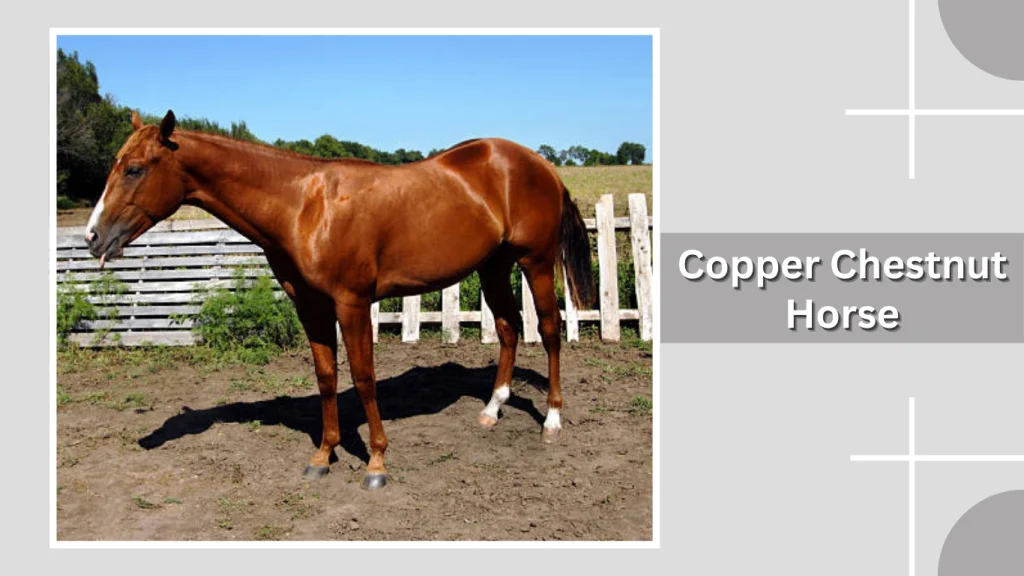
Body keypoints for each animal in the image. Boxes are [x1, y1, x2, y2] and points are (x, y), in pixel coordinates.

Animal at [84, 109, 596, 489]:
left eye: (134, 169)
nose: (93, 237)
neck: (305, 207)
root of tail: (539, 164)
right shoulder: (310, 306)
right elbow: (327, 377)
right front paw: (323, 455)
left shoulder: (352, 304)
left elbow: (365, 379)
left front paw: (376, 463)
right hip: (492, 265)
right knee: (509, 327)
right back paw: (492, 409)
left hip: (535, 262)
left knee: (548, 330)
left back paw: (552, 419)